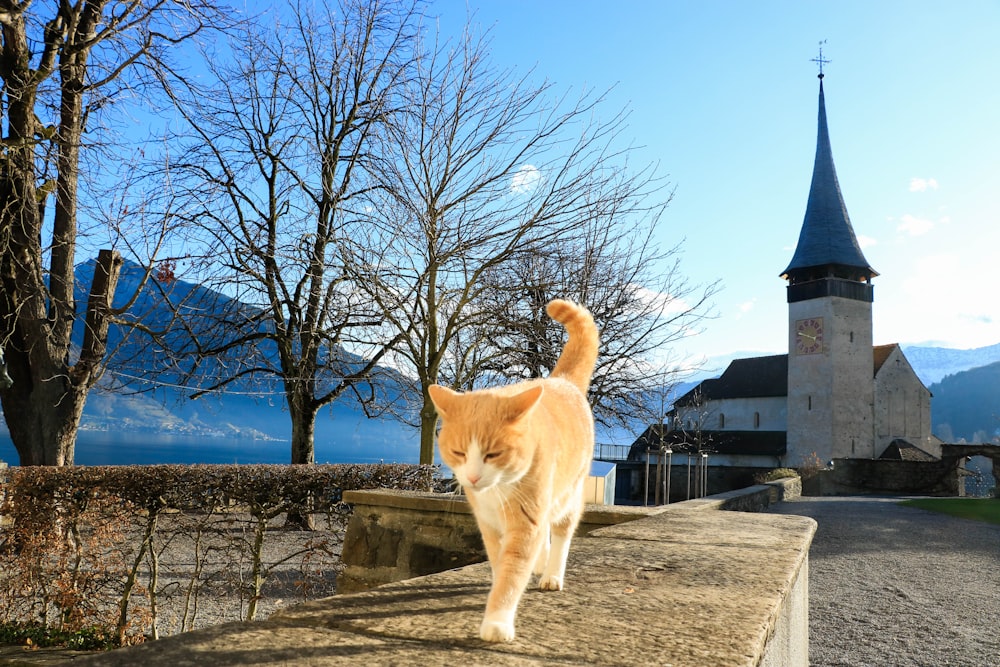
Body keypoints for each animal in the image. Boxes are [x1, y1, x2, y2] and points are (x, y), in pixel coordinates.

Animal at [426, 300, 596, 644]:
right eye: (459, 453)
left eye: (493, 454)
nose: (473, 477)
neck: (497, 491)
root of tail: (563, 380)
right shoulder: (489, 523)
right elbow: (498, 561)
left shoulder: (526, 522)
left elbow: (512, 572)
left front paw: (497, 619)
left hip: (567, 496)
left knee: (561, 532)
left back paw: (551, 573)